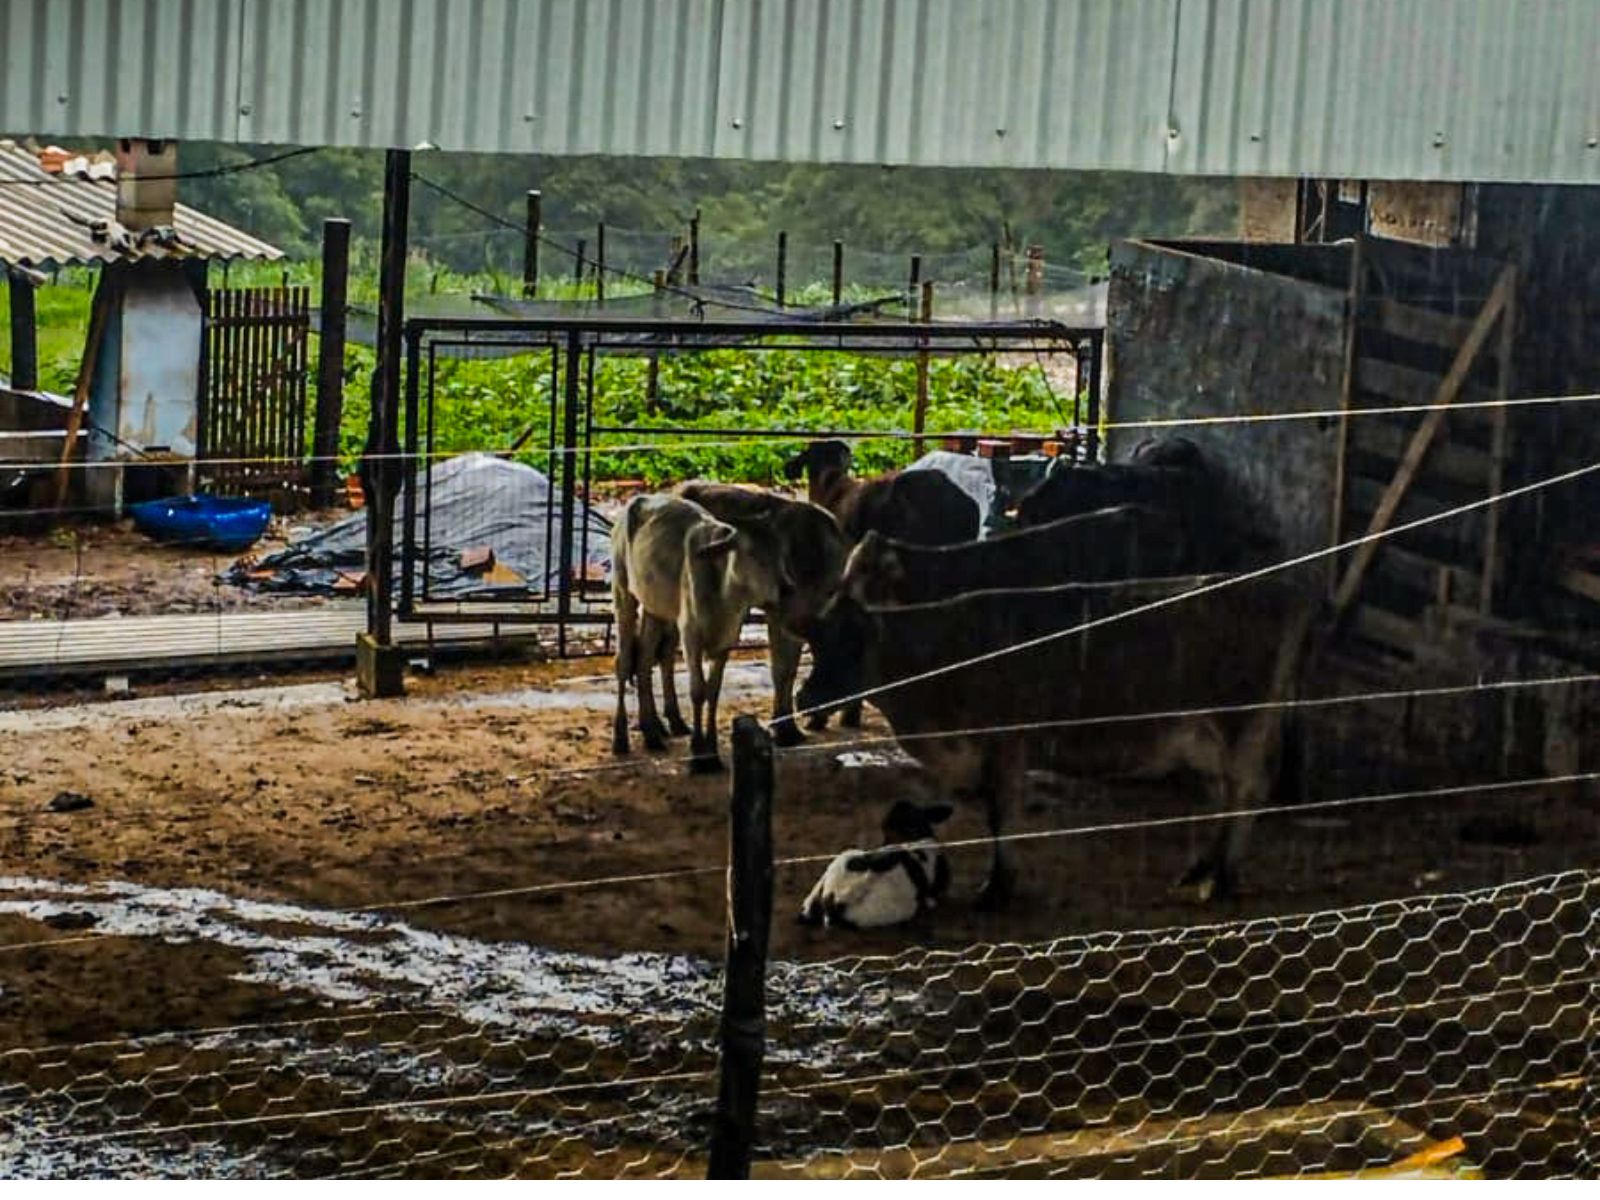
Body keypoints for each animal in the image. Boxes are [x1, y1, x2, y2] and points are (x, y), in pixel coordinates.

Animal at [800, 576, 1312, 908]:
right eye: (817, 645)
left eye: (852, 645)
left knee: (1246, 792)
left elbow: (1002, 814)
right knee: (1221, 797)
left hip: (1242, 719)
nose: (804, 698)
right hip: (1203, 734)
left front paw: (998, 887)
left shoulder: (1007, 740)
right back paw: (1201, 870)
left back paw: (1222, 879)